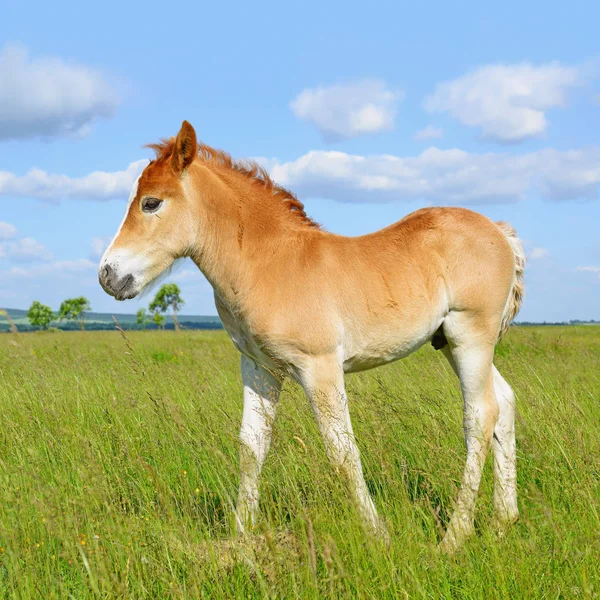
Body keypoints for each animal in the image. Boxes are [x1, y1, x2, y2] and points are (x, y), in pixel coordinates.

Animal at [101, 120, 524, 552]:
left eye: (151, 203)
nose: (107, 275)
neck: (269, 263)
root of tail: (499, 232)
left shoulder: (319, 367)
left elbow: (341, 451)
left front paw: (378, 536)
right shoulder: (259, 367)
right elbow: (251, 448)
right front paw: (242, 538)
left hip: (470, 334)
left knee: (480, 415)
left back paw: (455, 536)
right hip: (451, 344)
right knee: (504, 403)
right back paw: (502, 521)